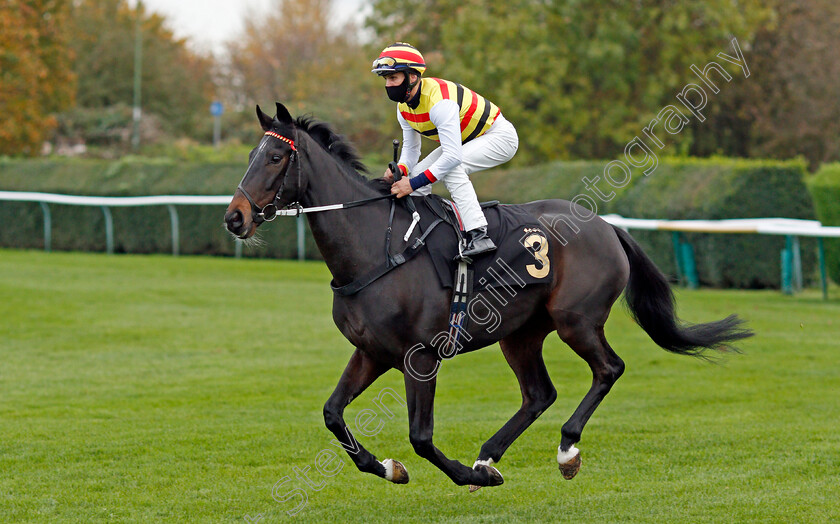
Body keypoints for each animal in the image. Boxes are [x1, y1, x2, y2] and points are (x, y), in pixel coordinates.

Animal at [223, 103, 756, 492]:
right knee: (539, 393)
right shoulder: (371, 352)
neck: (377, 247)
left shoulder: (421, 357)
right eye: (251, 155)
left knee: (609, 369)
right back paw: (489, 456)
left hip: (576, 320)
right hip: (520, 334)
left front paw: (460, 474)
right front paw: (390, 467)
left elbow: (420, 437)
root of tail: (607, 226)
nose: (235, 218)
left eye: (275, 158)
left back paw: (565, 450)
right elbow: (334, 415)